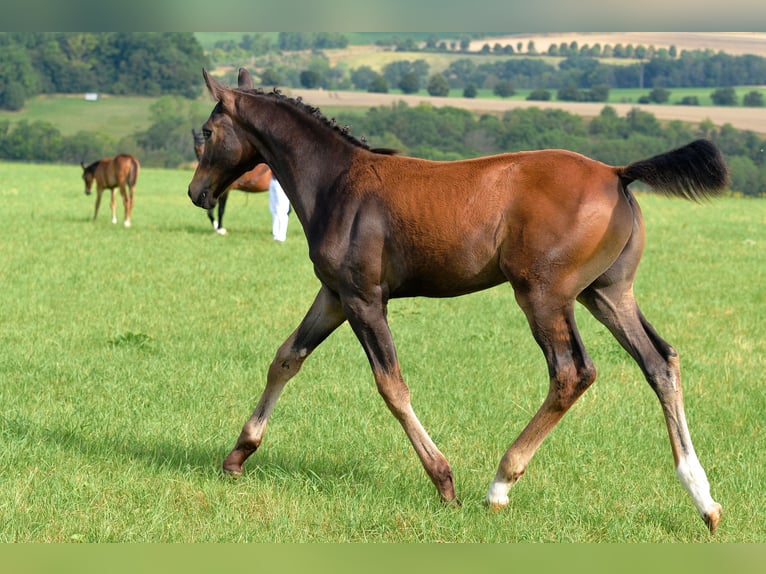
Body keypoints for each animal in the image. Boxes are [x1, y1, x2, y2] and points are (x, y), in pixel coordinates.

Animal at [188, 68, 728, 533]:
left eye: (207, 132)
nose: (197, 193)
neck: (336, 183)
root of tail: (618, 173)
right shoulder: (335, 295)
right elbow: (287, 357)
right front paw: (237, 455)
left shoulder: (364, 300)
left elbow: (391, 385)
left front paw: (444, 481)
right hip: (608, 294)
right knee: (660, 361)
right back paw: (703, 498)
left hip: (544, 295)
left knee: (572, 372)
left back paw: (500, 484)